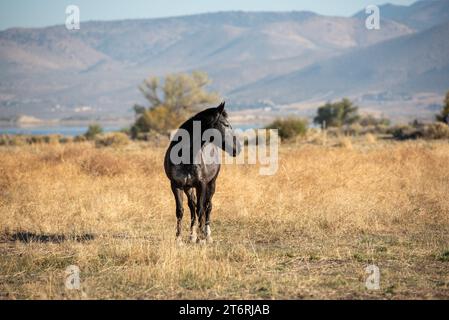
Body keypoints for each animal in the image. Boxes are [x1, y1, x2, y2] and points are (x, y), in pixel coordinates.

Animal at [164, 101, 240, 244]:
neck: (185, 155)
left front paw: (201, 239)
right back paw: (192, 235)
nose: (238, 148)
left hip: (212, 184)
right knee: (192, 206)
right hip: (188, 187)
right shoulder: (176, 185)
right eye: (226, 124)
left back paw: (207, 235)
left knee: (208, 206)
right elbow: (180, 210)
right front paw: (179, 238)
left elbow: (201, 209)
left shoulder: (202, 185)